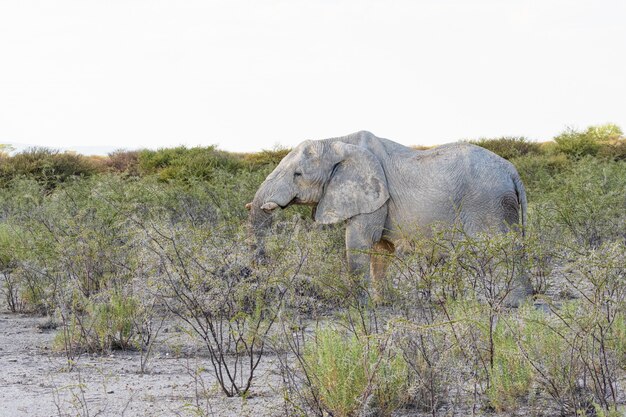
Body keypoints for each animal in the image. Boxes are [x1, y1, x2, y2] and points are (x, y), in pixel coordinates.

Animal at [246, 132, 528, 304]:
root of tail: (512, 170)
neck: (336, 141)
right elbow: (381, 249)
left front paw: (358, 305)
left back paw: (510, 303)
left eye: (298, 174)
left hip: (489, 202)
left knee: (502, 249)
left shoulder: (374, 194)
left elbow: (359, 242)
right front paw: (382, 303)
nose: (258, 272)